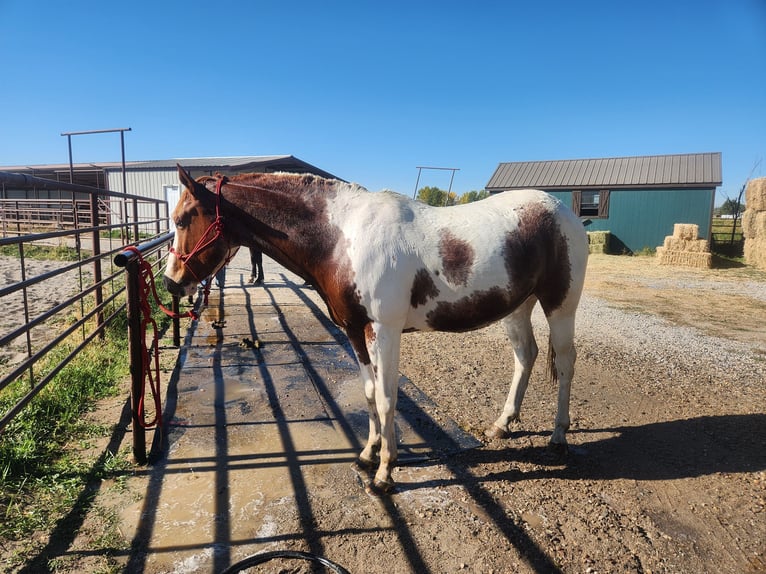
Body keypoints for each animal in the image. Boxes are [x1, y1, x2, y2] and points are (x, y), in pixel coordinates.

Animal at [165, 165, 592, 496]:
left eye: (184, 219)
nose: (171, 283)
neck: (343, 238)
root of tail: (565, 212)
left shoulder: (384, 331)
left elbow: (388, 399)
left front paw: (386, 473)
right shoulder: (355, 331)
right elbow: (370, 393)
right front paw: (369, 455)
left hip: (560, 306)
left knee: (566, 363)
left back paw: (558, 437)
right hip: (518, 307)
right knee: (526, 356)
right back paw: (504, 424)